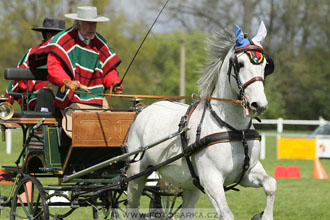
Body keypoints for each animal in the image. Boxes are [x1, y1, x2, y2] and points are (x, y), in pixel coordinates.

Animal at [125, 21, 276, 220]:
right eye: (240, 64)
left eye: (265, 65)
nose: (259, 104)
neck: (235, 131)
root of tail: (143, 110)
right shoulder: (211, 180)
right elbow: (226, 214)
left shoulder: (247, 173)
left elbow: (271, 184)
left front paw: (265, 216)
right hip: (137, 175)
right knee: (132, 206)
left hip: (191, 185)